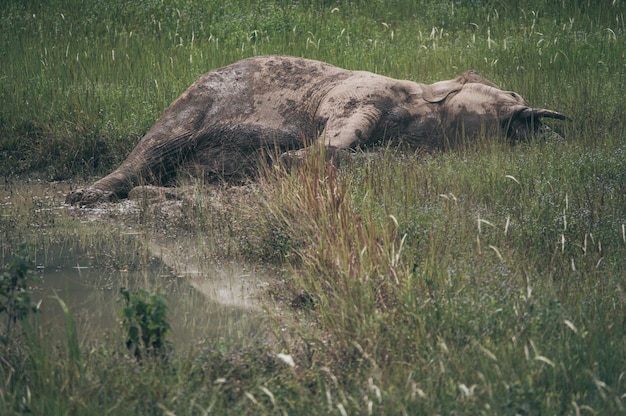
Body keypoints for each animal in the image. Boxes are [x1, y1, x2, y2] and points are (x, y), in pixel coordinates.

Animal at [64, 55, 564, 205]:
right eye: (512, 96)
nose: (536, 121)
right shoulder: (359, 90)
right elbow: (334, 136)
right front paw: (292, 158)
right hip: (192, 102)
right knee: (154, 148)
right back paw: (85, 196)